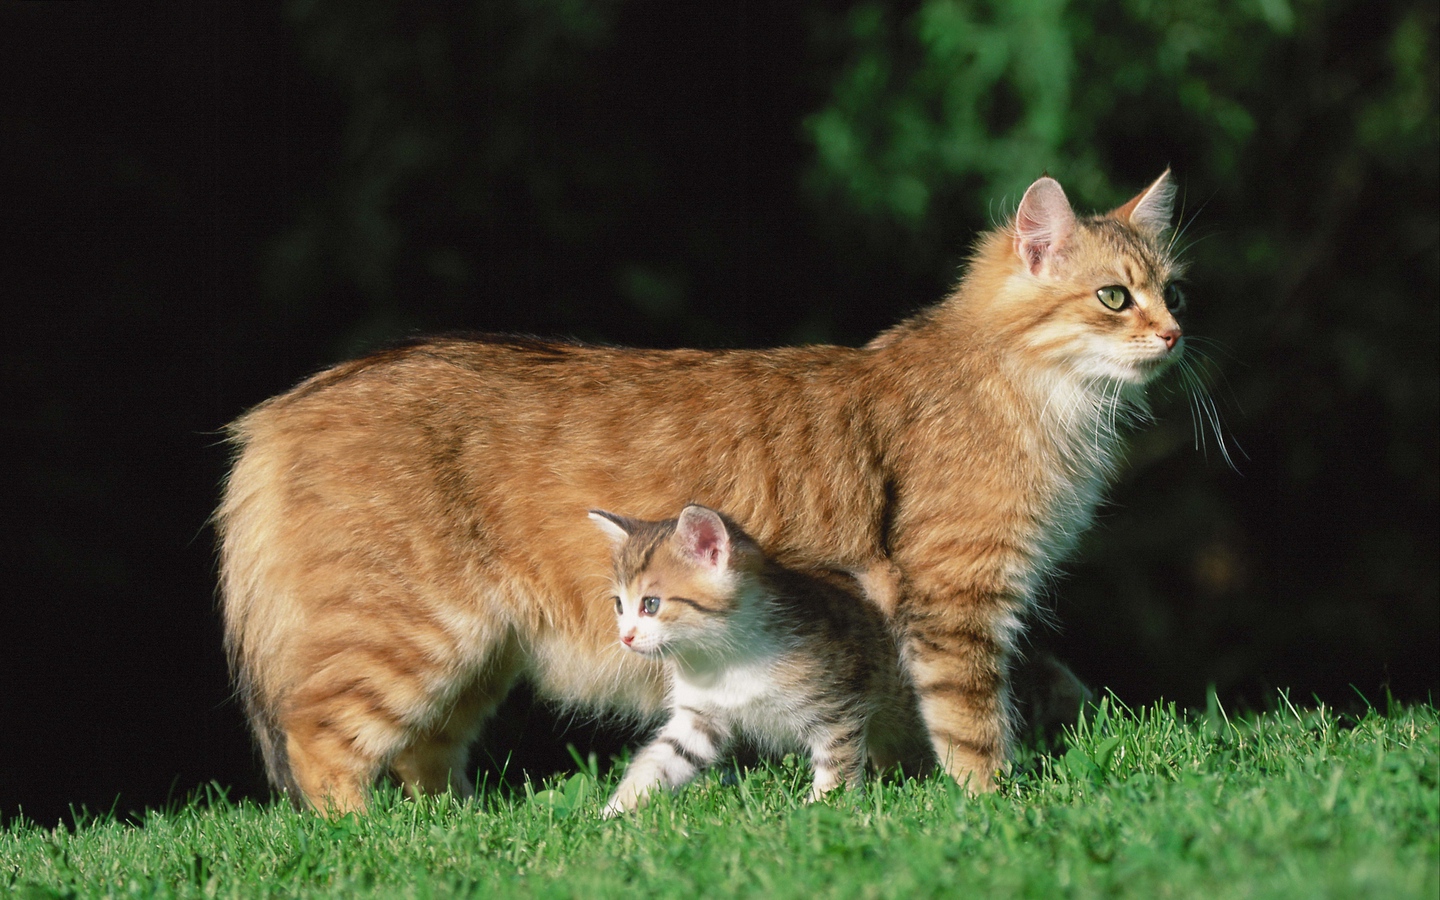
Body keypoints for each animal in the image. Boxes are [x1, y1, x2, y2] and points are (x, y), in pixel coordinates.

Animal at [590, 506, 927, 812]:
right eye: (619, 605)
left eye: (651, 604)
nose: (626, 637)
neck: (724, 662)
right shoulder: (700, 717)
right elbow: (663, 757)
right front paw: (616, 811)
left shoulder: (837, 705)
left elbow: (836, 759)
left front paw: (826, 805)